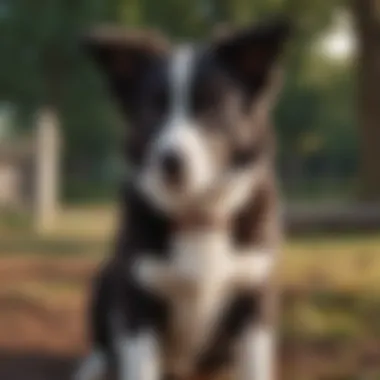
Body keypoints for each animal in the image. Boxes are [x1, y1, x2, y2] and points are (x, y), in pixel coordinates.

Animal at [75, 17, 290, 380]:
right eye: (153, 107)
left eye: (212, 106)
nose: (170, 161)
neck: (198, 214)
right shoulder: (139, 300)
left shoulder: (255, 297)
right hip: (105, 279)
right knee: (105, 349)